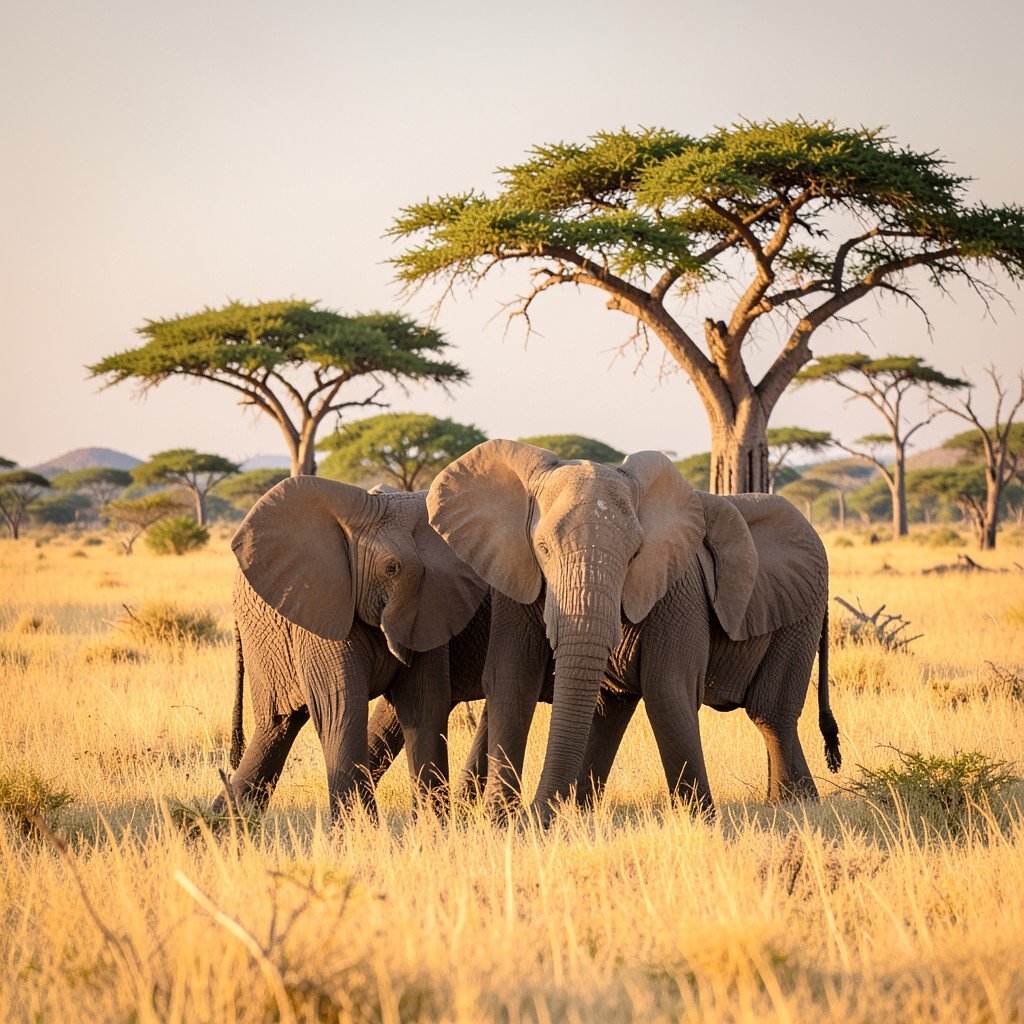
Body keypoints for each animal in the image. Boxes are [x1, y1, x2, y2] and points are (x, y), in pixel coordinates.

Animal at [222, 475, 489, 822]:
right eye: (391, 569)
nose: (397, 652)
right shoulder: (323, 600)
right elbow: (343, 706)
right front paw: (359, 830)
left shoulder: (432, 603)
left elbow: (423, 703)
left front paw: (431, 828)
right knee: (277, 723)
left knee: (278, 730)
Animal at [425, 439, 842, 824]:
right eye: (542, 548)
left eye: (633, 556)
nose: (537, 813)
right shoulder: (514, 576)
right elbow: (513, 679)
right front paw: (503, 824)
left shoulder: (676, 587)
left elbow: (668, 688)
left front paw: (700, 821)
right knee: (612, 706)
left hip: (801, 613)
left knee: (770, 712)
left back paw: (792, 806)